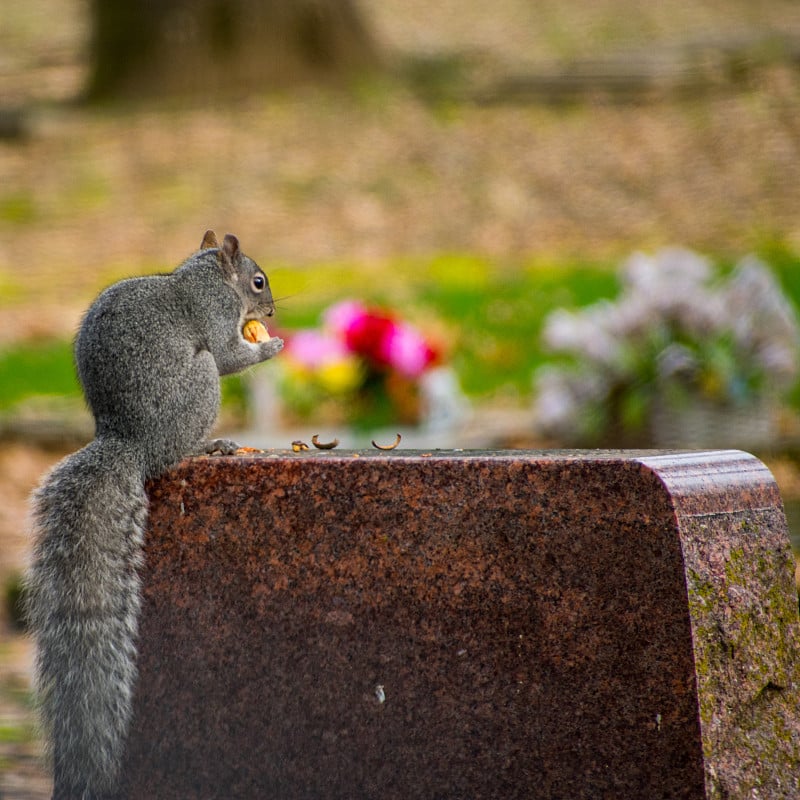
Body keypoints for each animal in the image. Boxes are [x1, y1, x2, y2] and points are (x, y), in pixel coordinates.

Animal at [24, 231, 284, 800]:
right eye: (258, 281)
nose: (273, 311)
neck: (208, 275)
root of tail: (132, 442)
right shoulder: (215, 315)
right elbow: (230, 354)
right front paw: (270, 346)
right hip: (198, 385)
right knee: (182, 438)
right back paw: (209, 447)